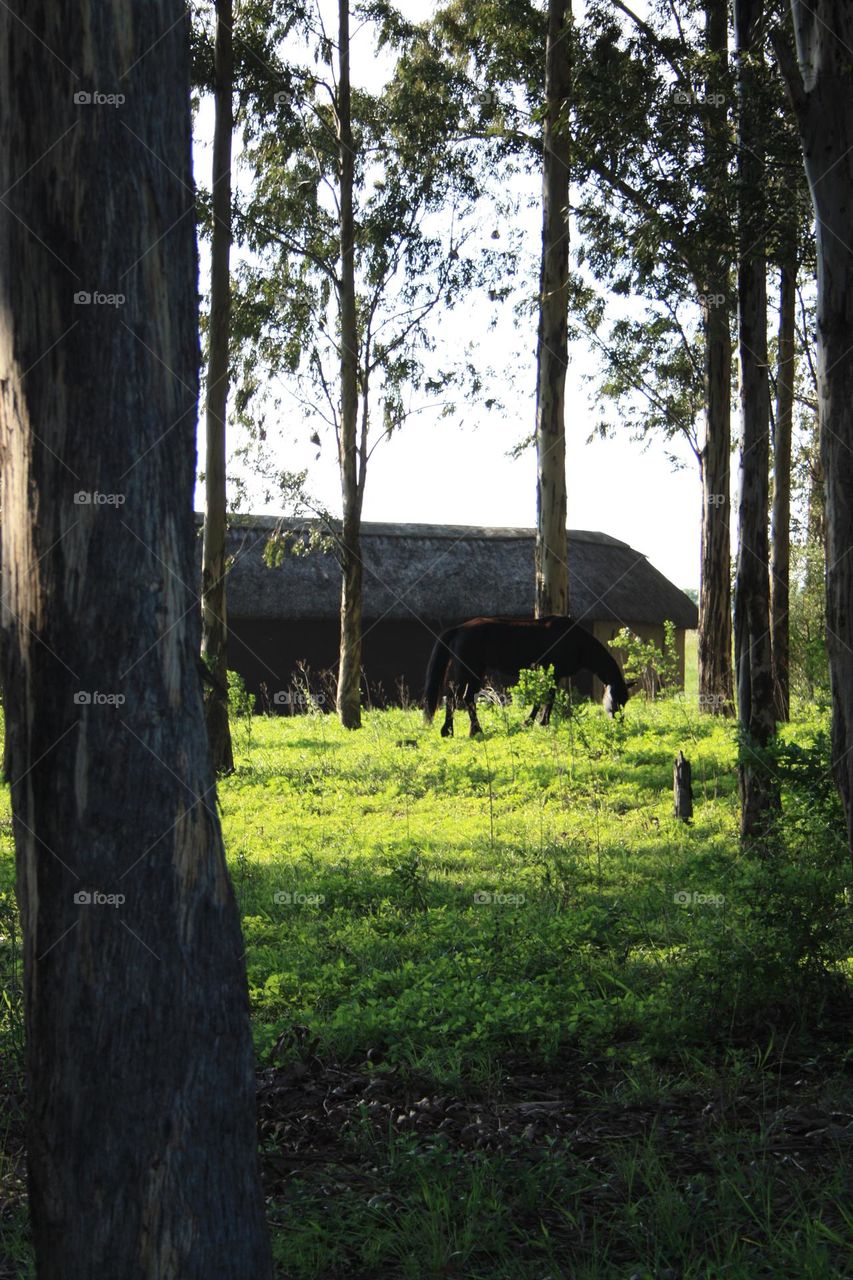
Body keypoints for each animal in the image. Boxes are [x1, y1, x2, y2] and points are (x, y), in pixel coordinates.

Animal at [422, 614, 627, 737]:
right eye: (617, 699)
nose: (620, 722)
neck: (576, 641)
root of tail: (459, 629)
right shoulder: (553, 673)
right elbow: (547, 698)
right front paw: (538, 722)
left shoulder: (551, 675)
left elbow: (543, 698)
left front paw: (534, 722)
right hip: (468, 670)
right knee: (456, 697)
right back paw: (455, 730)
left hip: (472, 672)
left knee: (462, 697)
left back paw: (468, 730)